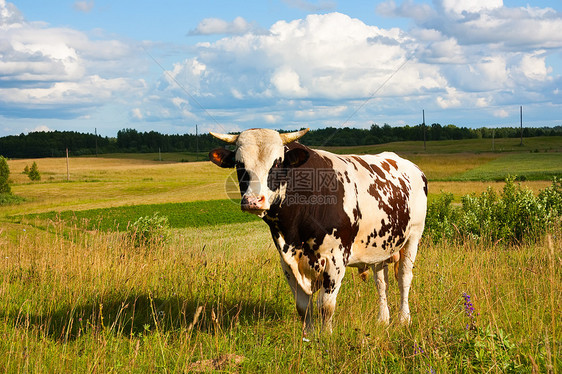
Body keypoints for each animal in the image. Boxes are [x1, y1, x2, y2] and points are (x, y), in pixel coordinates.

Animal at [208, 128, 426, 334]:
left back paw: (404, 319)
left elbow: (325, 305)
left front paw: (326, 336)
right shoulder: (287, 262)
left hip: (413, 237)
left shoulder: (336, 258)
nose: (253, 201)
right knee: (381, 282)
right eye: (239, 164)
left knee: (404, 278)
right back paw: (383, 319)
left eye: (277, 163)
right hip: (380, 246)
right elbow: (303, 306)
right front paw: (309, 335)